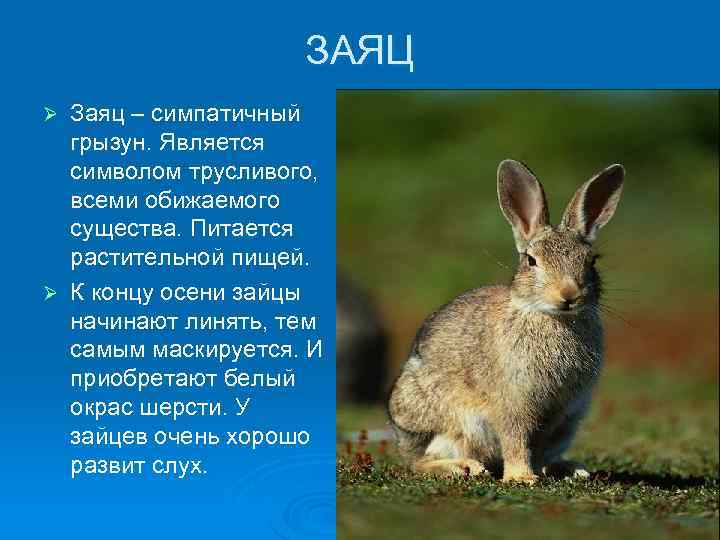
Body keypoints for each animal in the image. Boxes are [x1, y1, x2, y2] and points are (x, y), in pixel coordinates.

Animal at [387, 159, 624, 483]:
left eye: (592, 261)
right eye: (531, 261)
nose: (568, 294)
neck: (550, 317)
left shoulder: (557, 414)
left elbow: (536, 444)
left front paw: (535, 472)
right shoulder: (513, 402)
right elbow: (515, 438)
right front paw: (522, 477)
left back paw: (571, 469)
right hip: (442, 421)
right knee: (420, 462)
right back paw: (464, 467)